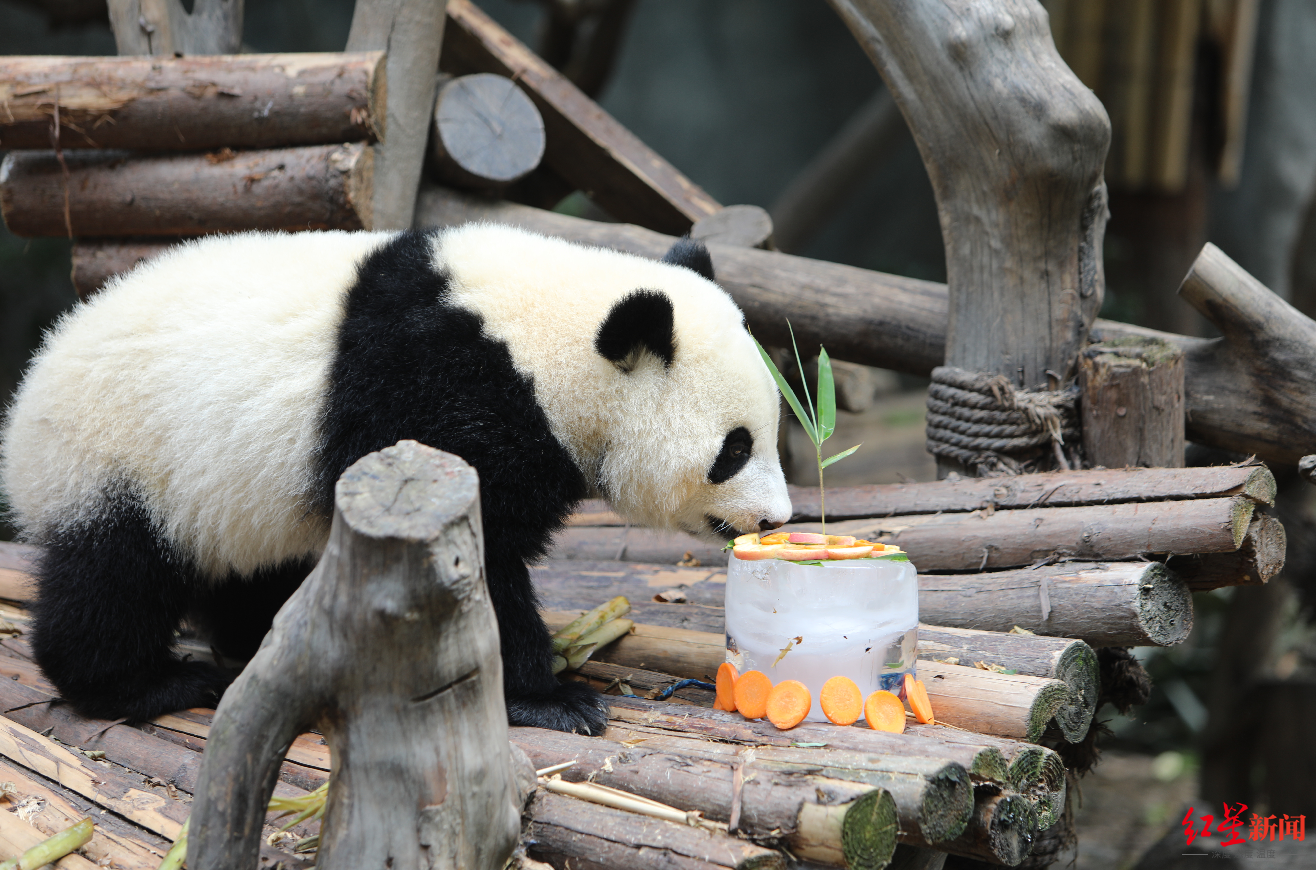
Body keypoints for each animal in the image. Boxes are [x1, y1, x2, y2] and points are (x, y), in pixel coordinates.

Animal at [0, 222, 789, 731]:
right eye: (734, 449)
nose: (775, 519)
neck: (542, 344)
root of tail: (33, 381)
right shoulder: (442, 397)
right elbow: (478, 562)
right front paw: (552, 700)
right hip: (119, 455)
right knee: (114, 577)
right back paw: (145, 683)